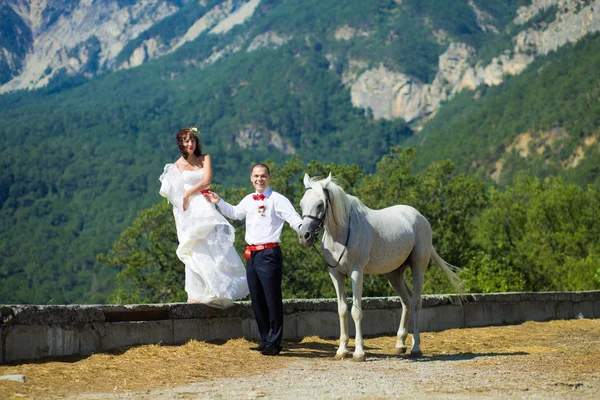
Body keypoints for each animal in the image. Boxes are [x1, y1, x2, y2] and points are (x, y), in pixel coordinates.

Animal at [298, 173, 464, 360]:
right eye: (302, 203)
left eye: (320, 204)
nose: (304, 236)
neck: (342, 234)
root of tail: (420, 217)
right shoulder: (335, 273)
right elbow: (342, 309)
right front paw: (341, 351)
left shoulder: (357, 272)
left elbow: (356, 311)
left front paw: (359, 352)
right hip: (394, 274)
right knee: (406, 300)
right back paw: (400, 344)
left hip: (418, 268)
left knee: (416, 302)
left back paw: (415, 347)